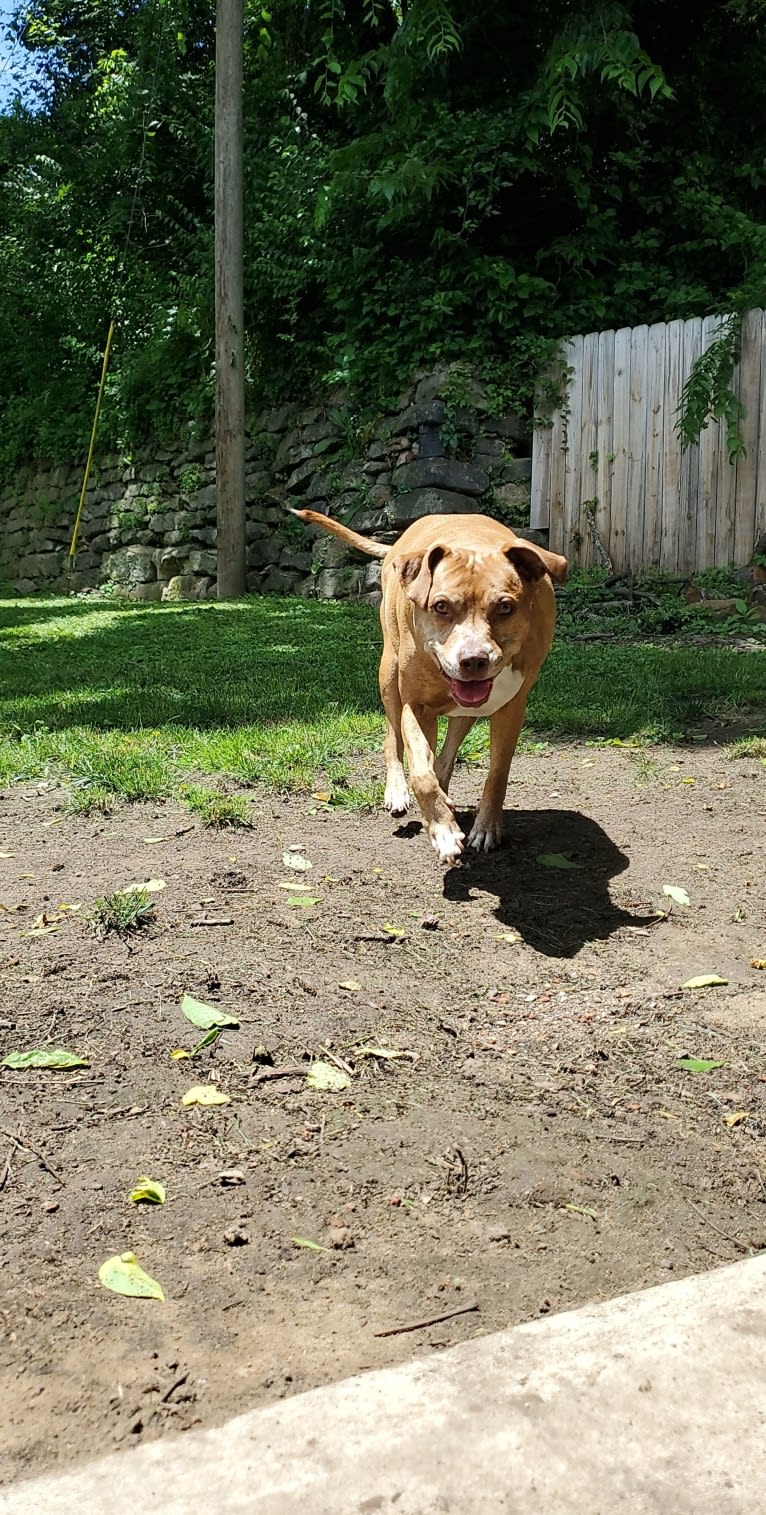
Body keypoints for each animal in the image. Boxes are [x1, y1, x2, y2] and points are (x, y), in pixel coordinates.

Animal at [290, 509, 566, 866]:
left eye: (505, 607)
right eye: (441, 606)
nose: (473, 660)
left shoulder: (511, 708)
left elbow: (496, 772)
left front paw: (484, 828)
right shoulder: (416, 706)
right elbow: (420, 773)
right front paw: (443, 831)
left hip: (465, 711)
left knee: (445, 756)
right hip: (389, 676)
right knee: (393, 738)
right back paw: (398, 792)